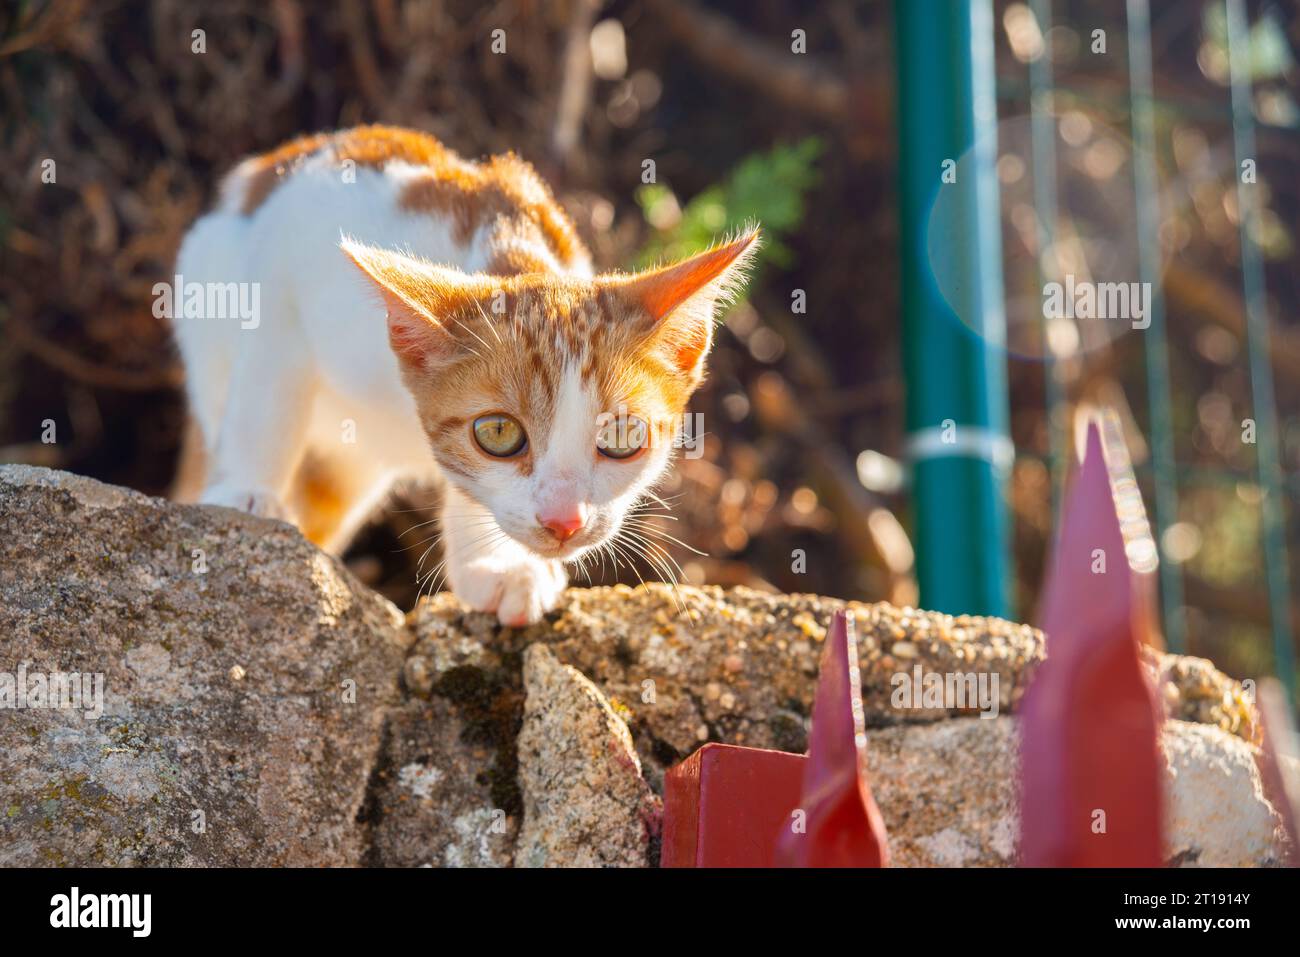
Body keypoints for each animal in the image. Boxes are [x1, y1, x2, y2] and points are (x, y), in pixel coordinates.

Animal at [174, 123, 759, 624]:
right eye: (498, 433)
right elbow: (268, 385)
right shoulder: (288, 261)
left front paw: (499, 567)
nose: (563, 522)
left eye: (621, 437)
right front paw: (248, 492)